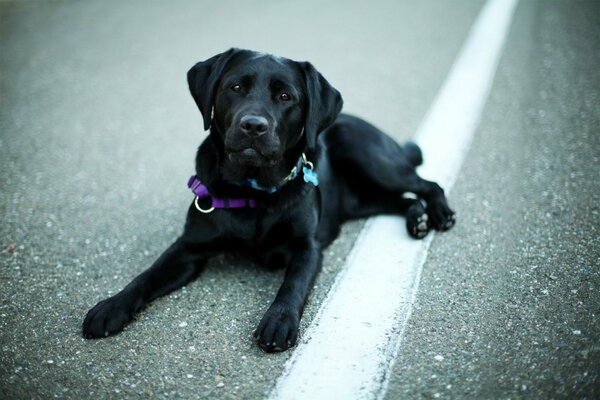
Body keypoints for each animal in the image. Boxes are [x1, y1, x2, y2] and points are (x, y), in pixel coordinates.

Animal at [81, 48, 454, 352]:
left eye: (286, 96)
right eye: (235, 87)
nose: (253, 125)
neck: (253, 192)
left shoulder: (307, 248)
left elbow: (293, 285)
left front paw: (278, 321)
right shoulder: (188, 248)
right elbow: (147, 274)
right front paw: (112, 306)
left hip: (365, 152)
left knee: (426, 183)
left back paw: (438, 213)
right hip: (362, 198)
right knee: (399, 199)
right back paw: (417, 219)